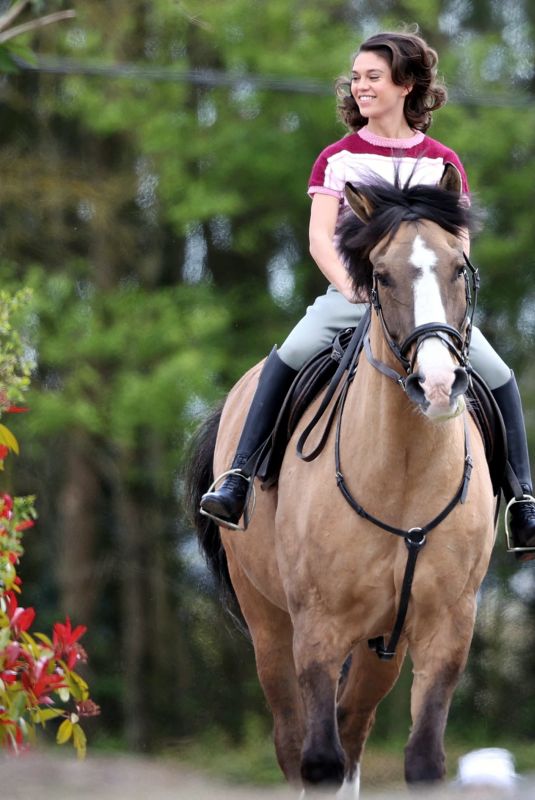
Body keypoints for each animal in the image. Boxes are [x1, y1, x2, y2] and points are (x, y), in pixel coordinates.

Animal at [186, 165, 496, 797]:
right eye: (380, 274)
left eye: (459, 265)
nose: (437, 385)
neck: (405, 476)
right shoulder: (318, 631)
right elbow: (319, 761)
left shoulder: (446, 630)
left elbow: (422, 759)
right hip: (270, 627)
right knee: (295, 744)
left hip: (384, 646)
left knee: (352, 731)